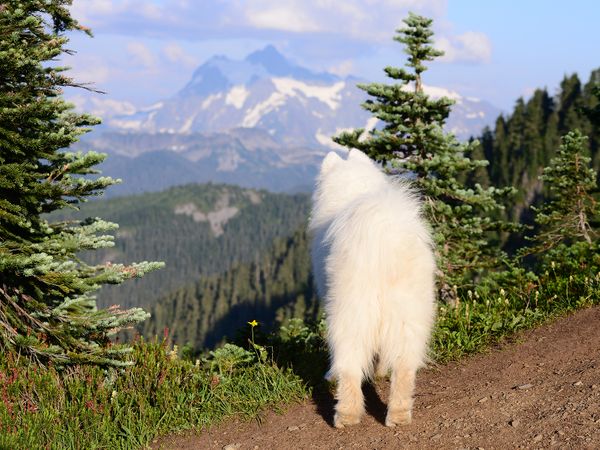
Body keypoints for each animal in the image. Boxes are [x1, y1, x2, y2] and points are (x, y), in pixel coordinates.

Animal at [310, 149, 436, 428]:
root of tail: (383, 236)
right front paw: (379, 372)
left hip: (349, 310)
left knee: (349, 364)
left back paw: (346, 415)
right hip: (409, 311)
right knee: (404, 365)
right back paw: (398, 414)